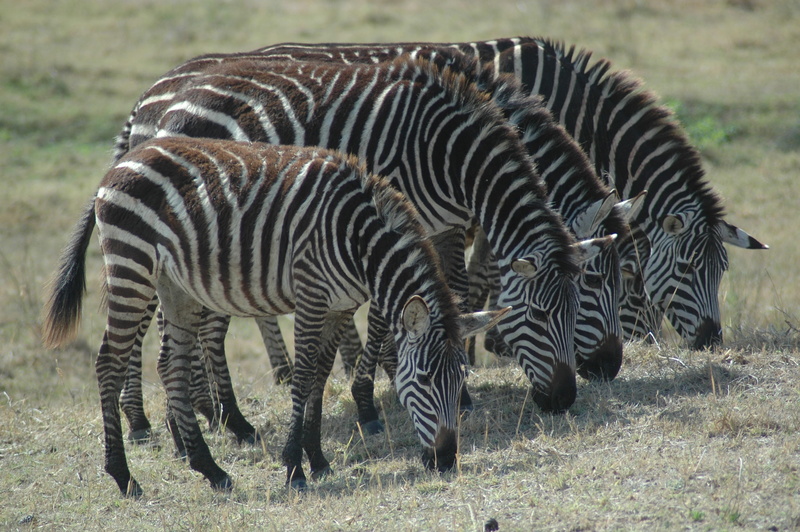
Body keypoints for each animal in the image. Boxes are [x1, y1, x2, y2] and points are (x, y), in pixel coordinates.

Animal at [42, 138, 508, 496]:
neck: (358, 239)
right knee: (110, 363)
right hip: (132, 268)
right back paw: (124, 477)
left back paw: (209, 469)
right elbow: (302, 377)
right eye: (425, 380)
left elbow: (320, 375)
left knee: (172, 367)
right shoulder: (311, 296)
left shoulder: (340, 305)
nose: (446, 460)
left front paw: (317, 459)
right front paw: (294, 468)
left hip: (174, 287)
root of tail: (120, 162)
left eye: (461, 380)